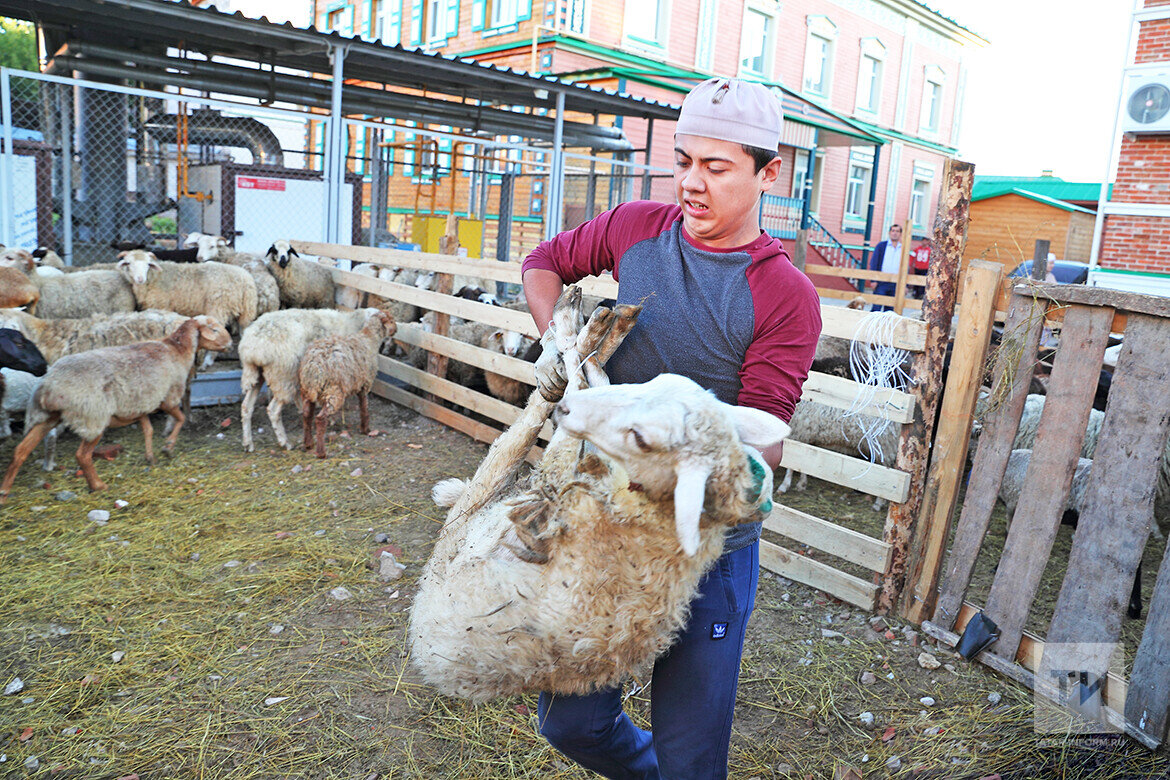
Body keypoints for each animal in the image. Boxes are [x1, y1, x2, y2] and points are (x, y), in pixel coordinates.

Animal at [235, 306, 386, 451]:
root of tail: (253, 348)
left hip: (256, 374)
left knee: (246, 407)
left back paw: (248, 443)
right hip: (284, 376)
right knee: (273, 410)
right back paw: (285, 442)